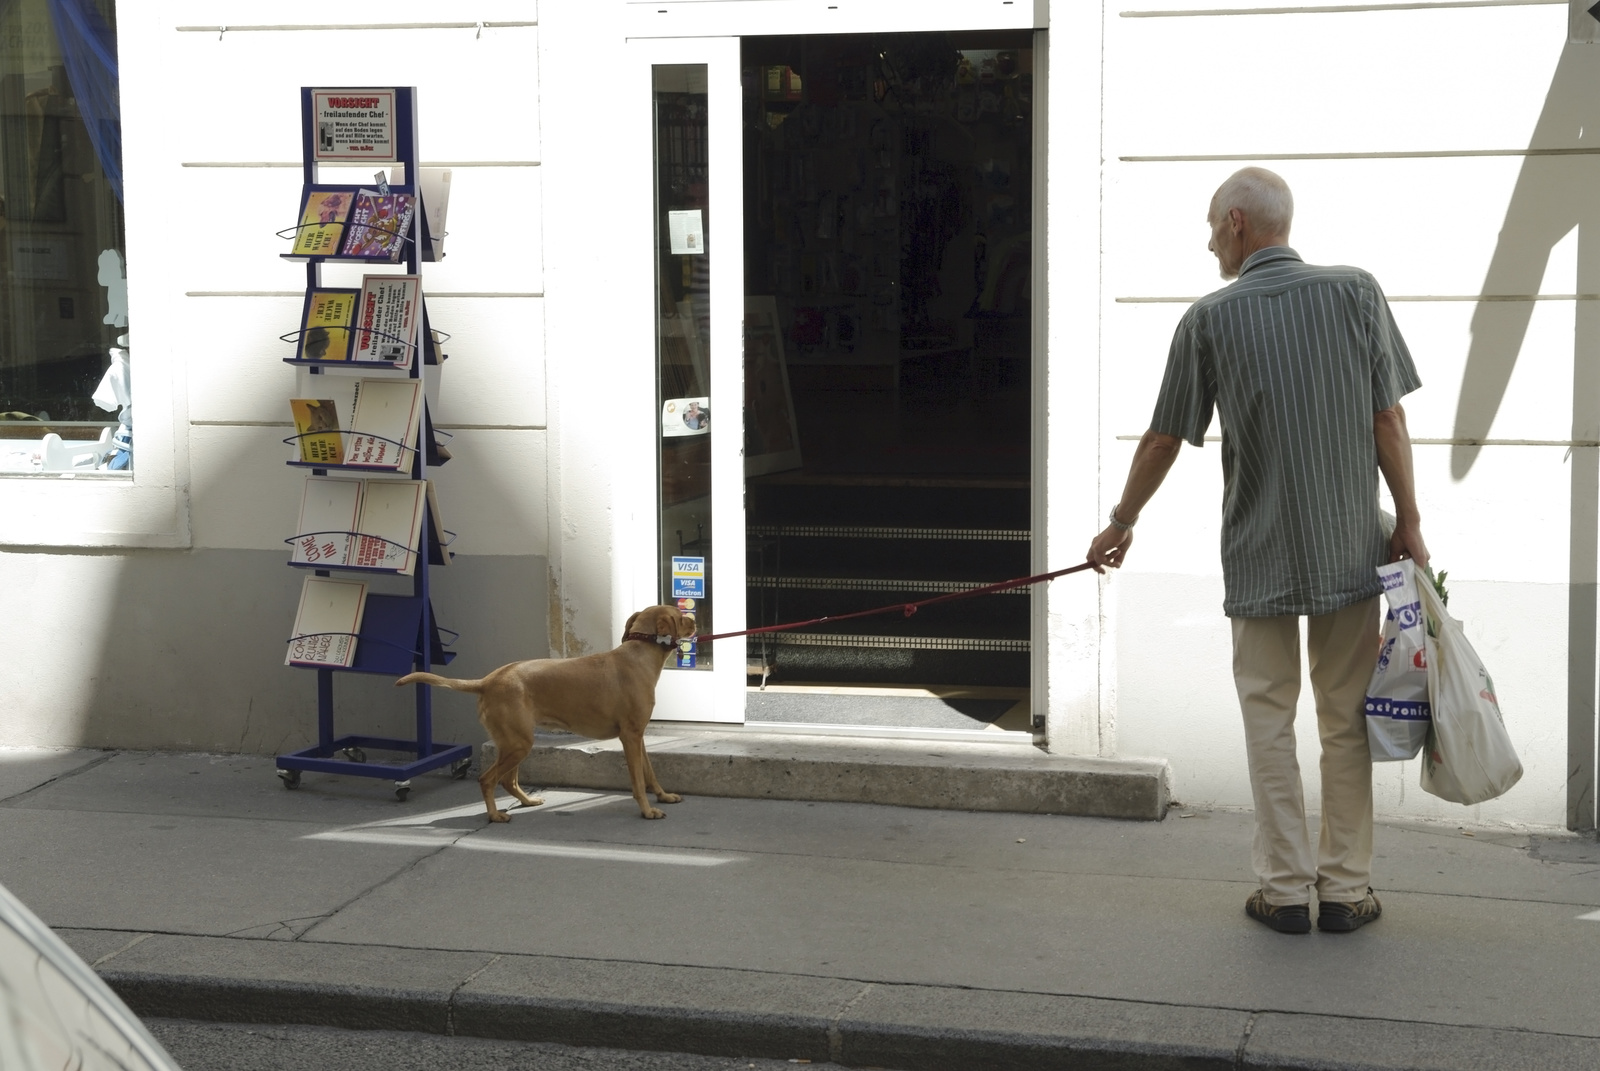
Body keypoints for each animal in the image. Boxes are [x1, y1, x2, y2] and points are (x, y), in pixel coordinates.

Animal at [395, 605, 694, 826]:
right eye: (680, 617)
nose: (694, 620)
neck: (638, 655)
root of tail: (488, 680)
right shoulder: (630, 737)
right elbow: (638, 781)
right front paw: (647, 811)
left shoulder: (638, 736)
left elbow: (650, 772)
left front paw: (663, 796)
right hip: (517, 744)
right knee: (488, 779)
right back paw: (494, 815)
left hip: (514, 743)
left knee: (508, 780)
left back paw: (527, 802)